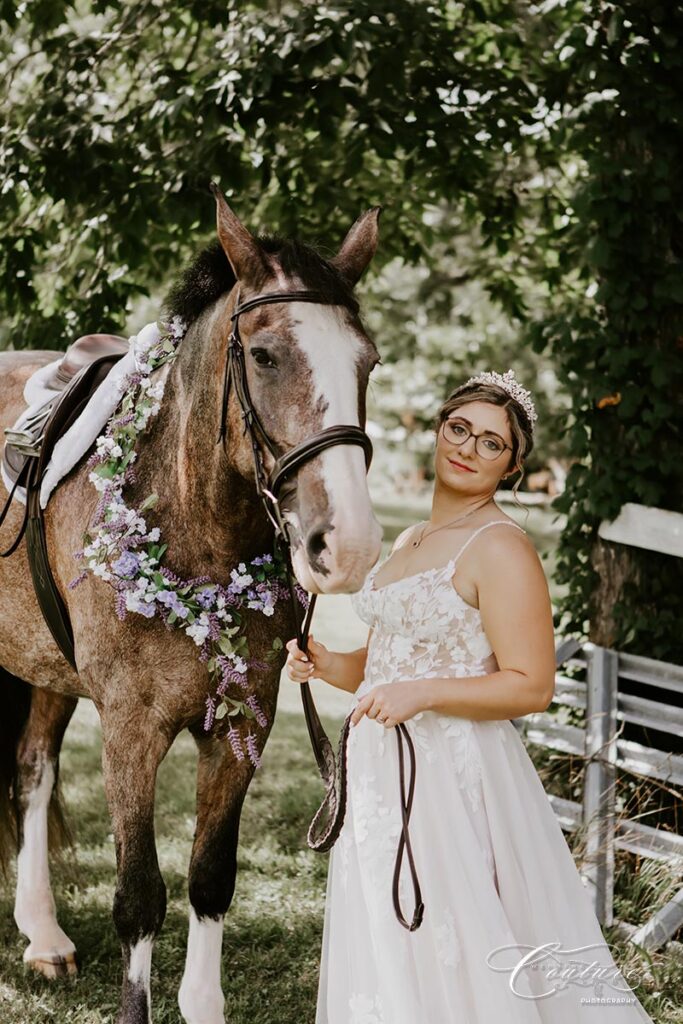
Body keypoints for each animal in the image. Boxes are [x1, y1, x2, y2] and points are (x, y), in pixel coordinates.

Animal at [0, 192, 385, 1024]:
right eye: (265, 356)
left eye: (366, 360)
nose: (347, 542)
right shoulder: (131, 728)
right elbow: (140, 897)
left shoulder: (243, 722)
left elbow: (209, 878)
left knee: (33, 768)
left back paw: (42, 933)